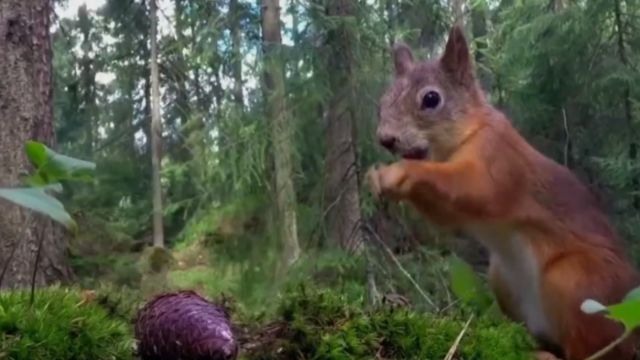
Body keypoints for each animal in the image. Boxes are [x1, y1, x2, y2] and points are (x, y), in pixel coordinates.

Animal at [368, 26, 640, 360]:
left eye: (431, 98)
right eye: (383, 102)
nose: (385, 139)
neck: (465, 135)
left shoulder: (498, 158)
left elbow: (475, 188)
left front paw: (401, 172)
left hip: (580, 282)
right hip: (503, 279)